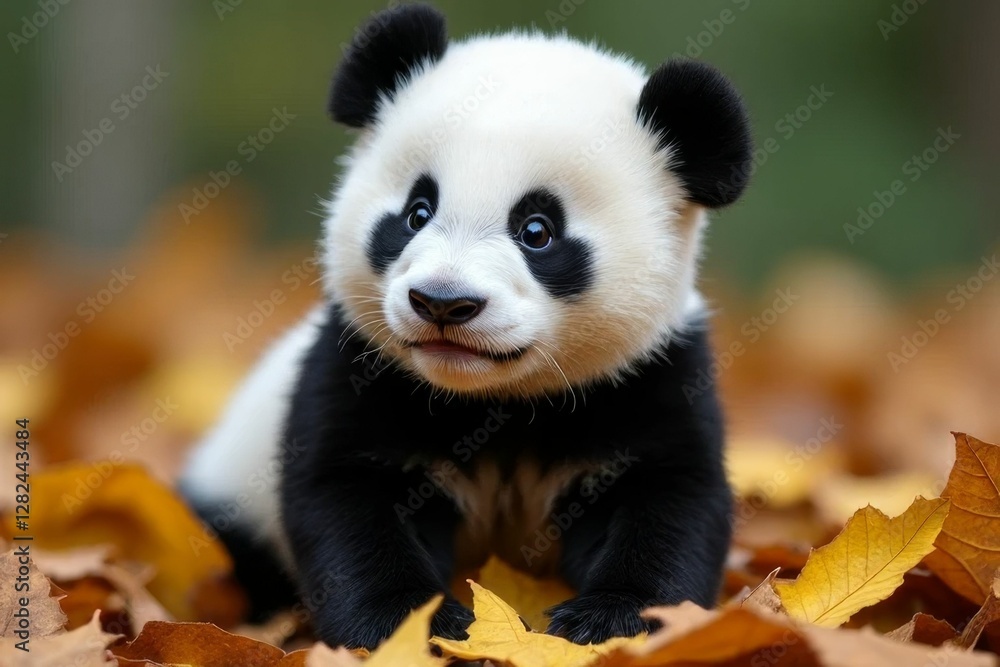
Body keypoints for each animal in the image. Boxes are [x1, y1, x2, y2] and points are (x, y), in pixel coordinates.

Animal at [180, 2, 752, 650]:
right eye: (416, 213)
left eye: (537, 231)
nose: (443, 303)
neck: (495, 402)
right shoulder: (355, 367)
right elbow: (344, 501)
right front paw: (411, 624)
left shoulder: (650, 375)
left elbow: (673, 502)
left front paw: (611, 620)